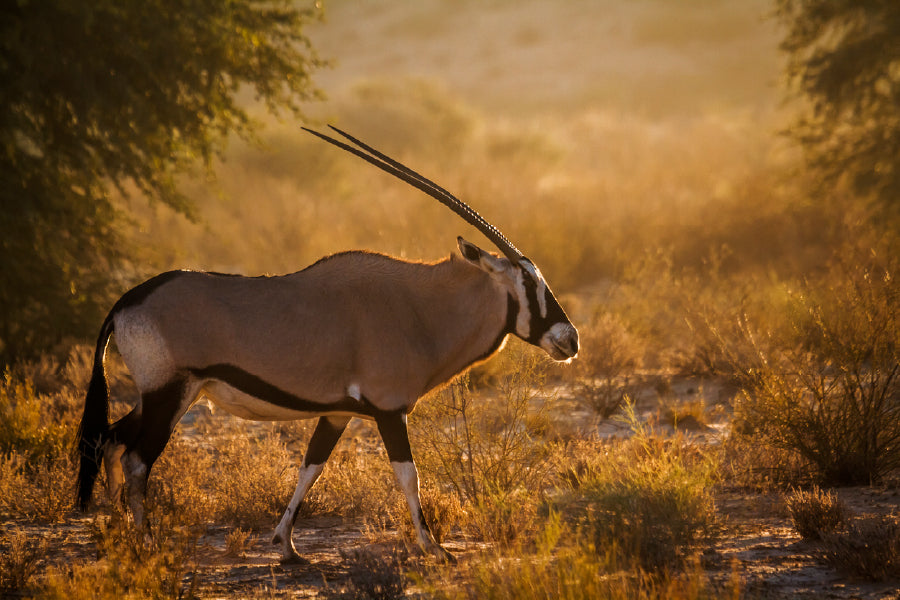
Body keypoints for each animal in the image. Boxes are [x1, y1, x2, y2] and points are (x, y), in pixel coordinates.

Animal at [79, 126, 584, 564]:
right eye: (528, 283)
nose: (570, 339)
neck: (420, 308)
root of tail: (126, 301)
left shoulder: (338, 413)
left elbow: (310, 467)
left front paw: (286, 545)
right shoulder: (389, 411)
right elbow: (409, 476)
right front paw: (435, 548)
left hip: (159, 397)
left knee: (110, 441)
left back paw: (116, 533)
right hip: (170, 394)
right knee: (136, 460)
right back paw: (146, 544)